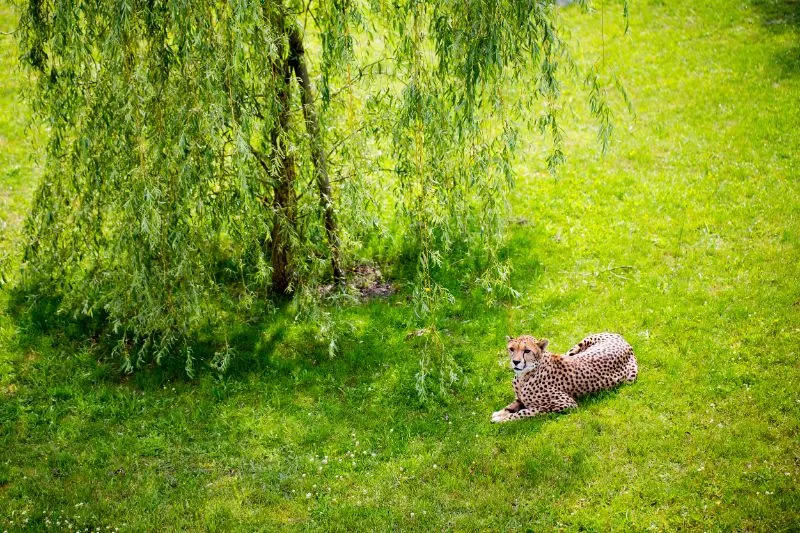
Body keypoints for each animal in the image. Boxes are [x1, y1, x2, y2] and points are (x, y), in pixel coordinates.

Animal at [490, 330, 636, 422]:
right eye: (511, 349)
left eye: (527, 351)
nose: (515, 362)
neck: (524, 376)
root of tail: (624, 341)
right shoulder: (520, 398)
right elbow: (512, 405)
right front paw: (500, 413)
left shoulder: (567, 404)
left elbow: (525, 412)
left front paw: (502, 419)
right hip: (574, 348)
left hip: (629, 379)